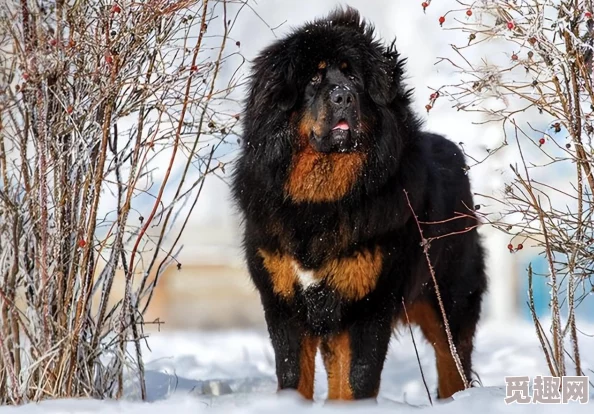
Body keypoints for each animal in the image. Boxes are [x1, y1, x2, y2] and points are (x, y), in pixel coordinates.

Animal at [229, 6, 484, 402]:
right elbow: (294, 377)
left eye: (353, 78)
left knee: (453, 365)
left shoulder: (368, 304)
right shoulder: (283, 302)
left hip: (449, 302)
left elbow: (358, 378)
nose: (343, 96)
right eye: (314, 78)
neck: (321, 201)